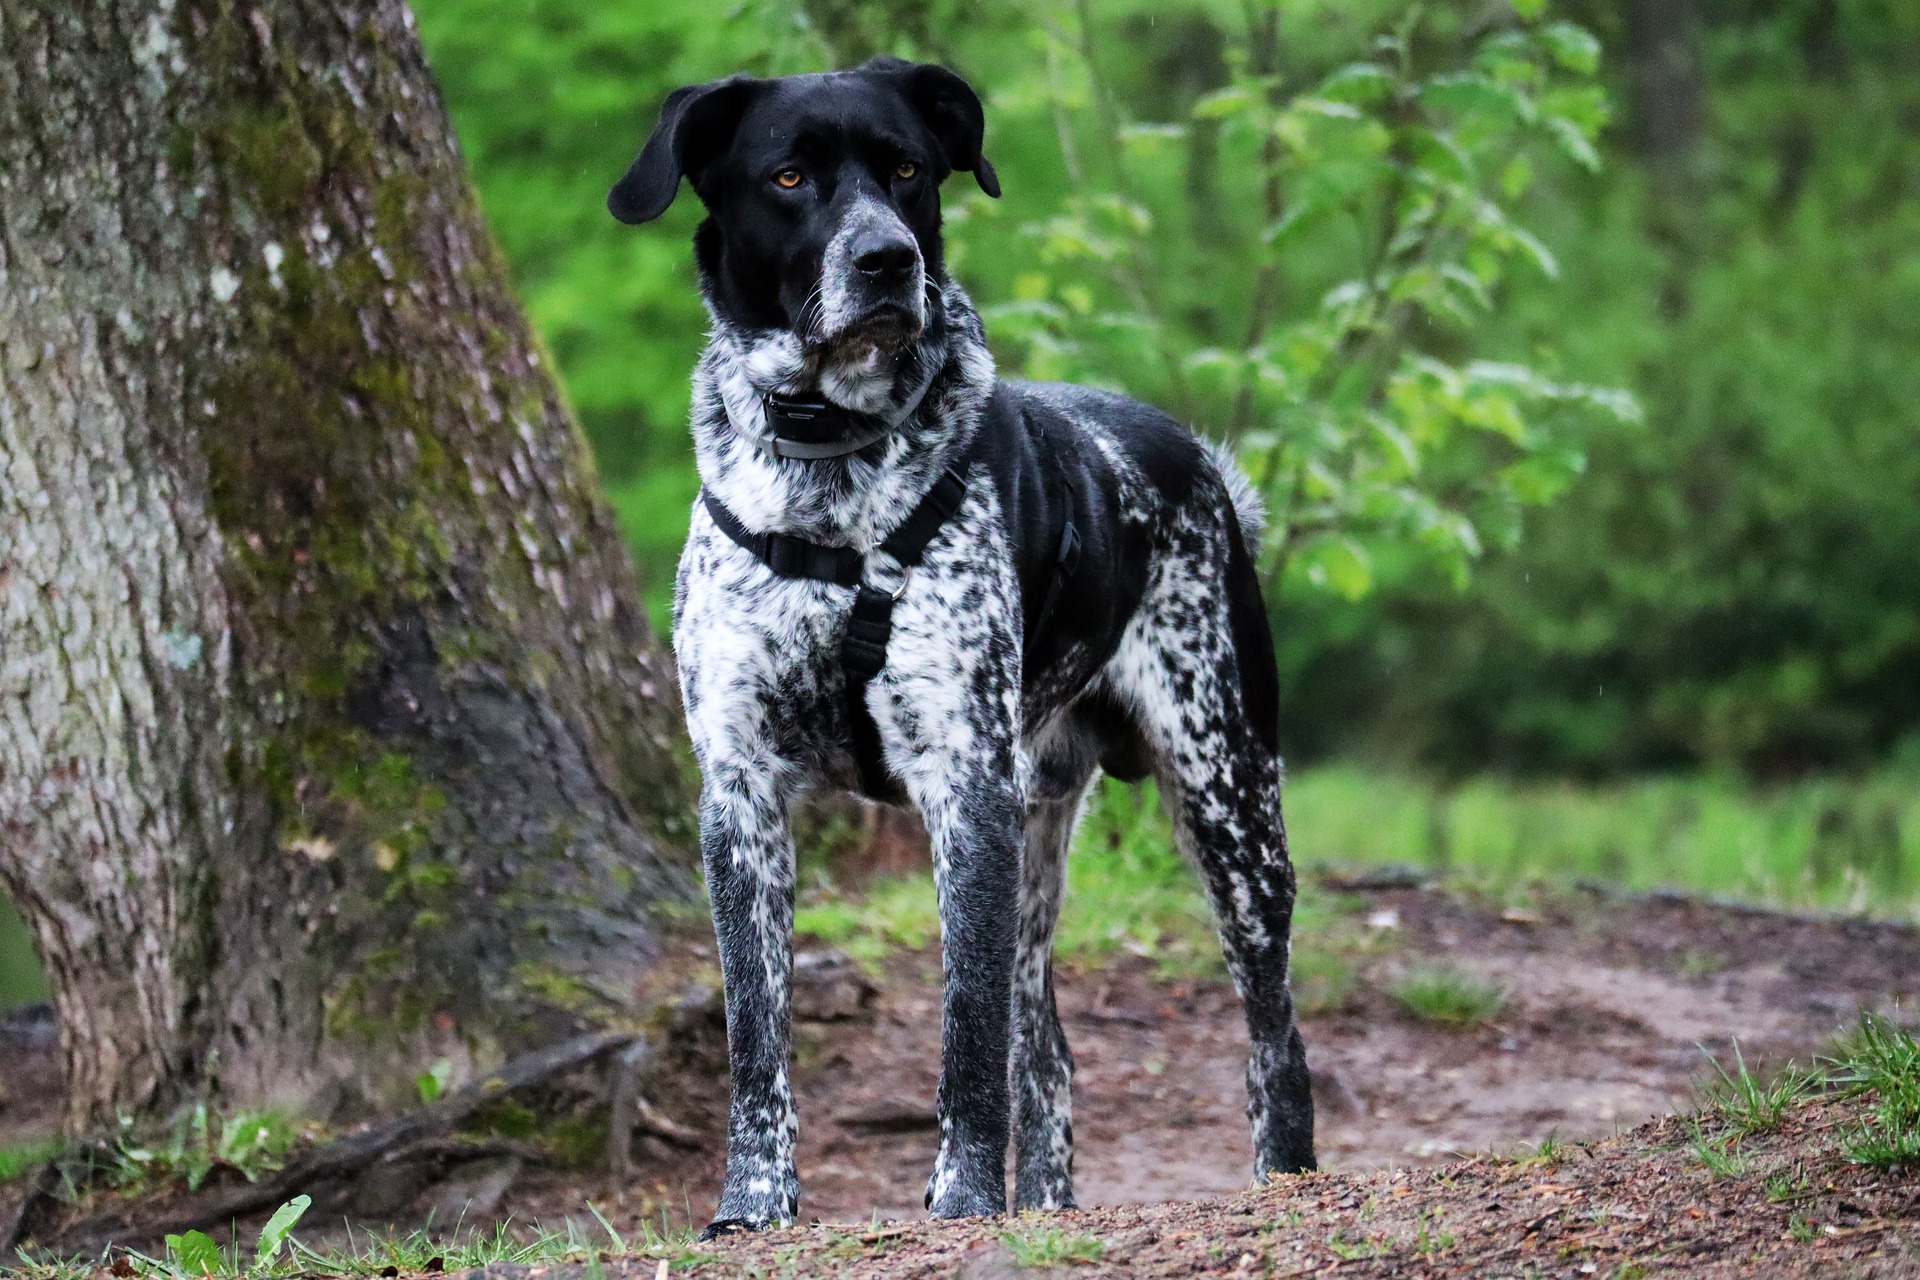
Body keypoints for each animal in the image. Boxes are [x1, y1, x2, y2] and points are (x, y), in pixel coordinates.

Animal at [606, 55, 1313, 1235]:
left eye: (907, 170)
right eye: (789, 175)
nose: (886, 259)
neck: (831, 480)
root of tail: (1202, 464)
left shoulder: (964, 784)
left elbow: (964, 1036)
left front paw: (965, 1195)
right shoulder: (741, 794)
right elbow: (757, 1036)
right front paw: (753, 1202)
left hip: (1227, 802)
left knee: (1275, 1039)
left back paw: (1284, 1179)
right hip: (1041, 835)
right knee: (1052, 1053)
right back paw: (1049, 1205)